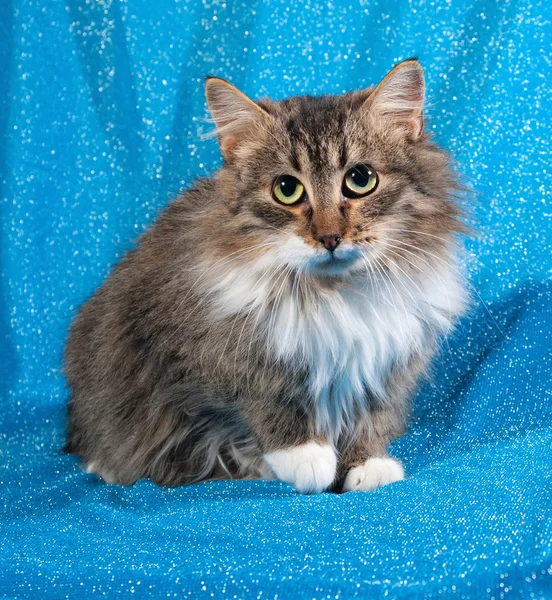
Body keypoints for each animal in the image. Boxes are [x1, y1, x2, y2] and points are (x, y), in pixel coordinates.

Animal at [67, 58, 468, 494]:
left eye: (360, 180)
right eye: (286, 189)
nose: (329, 237)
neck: (333, 293)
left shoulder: (383, 365)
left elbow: (370, 417)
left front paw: (367, 463)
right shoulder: (208, 353)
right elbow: (268, 398)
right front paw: (306, 457)